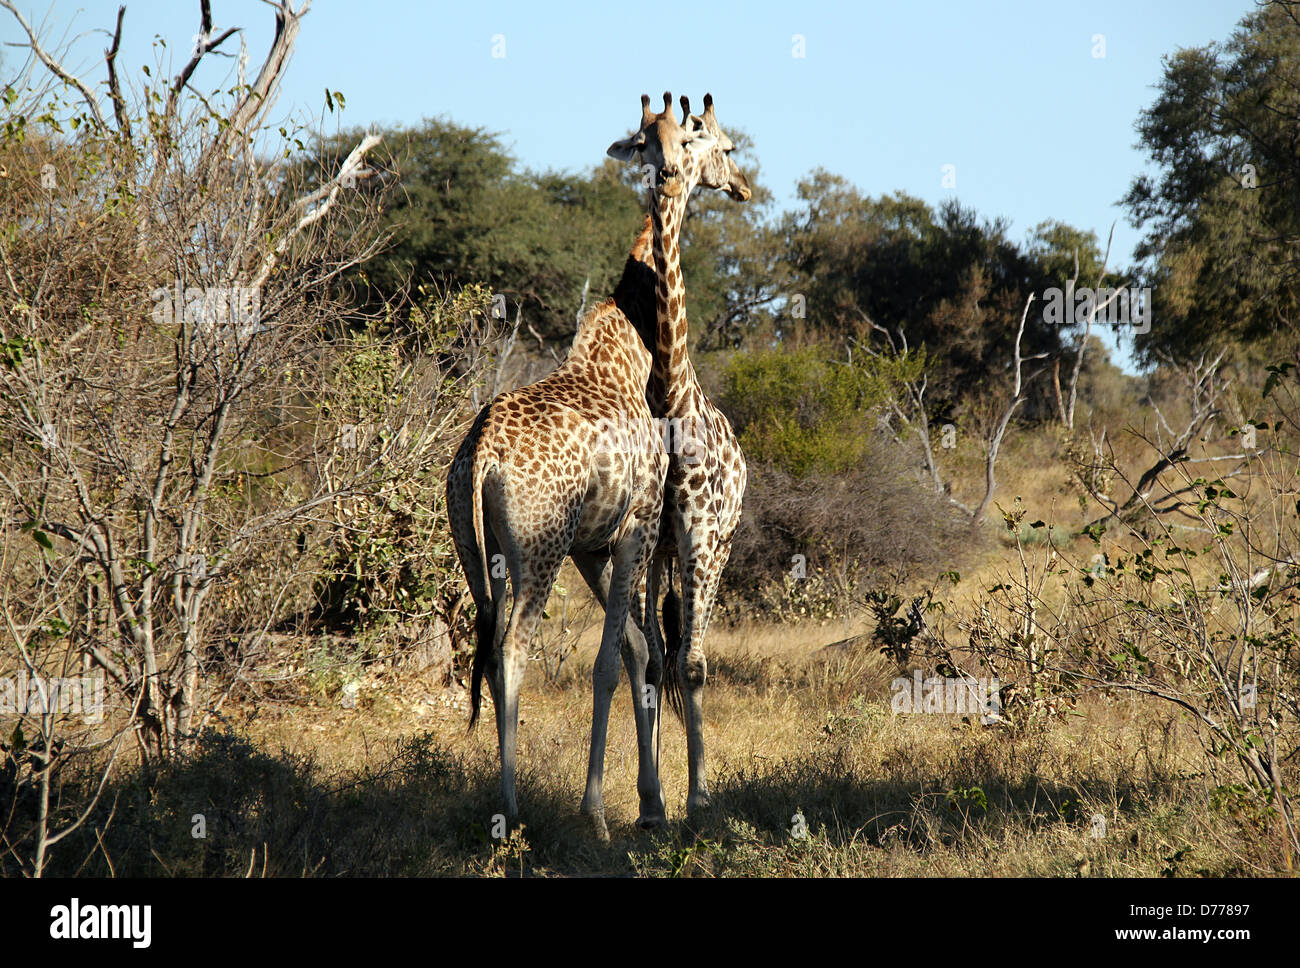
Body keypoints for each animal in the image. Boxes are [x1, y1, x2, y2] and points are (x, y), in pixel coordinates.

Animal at [444, 115, 725, 839]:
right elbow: (612, 660)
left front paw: (644, 803)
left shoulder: (598, 543)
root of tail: (479, 454)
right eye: (721, 146)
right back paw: (513, 811)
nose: (737, 184)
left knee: (486, 646)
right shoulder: (637, 528)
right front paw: (600, 812)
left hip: (475, 547)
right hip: (540, 548)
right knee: (514, 648)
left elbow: (632, 650)